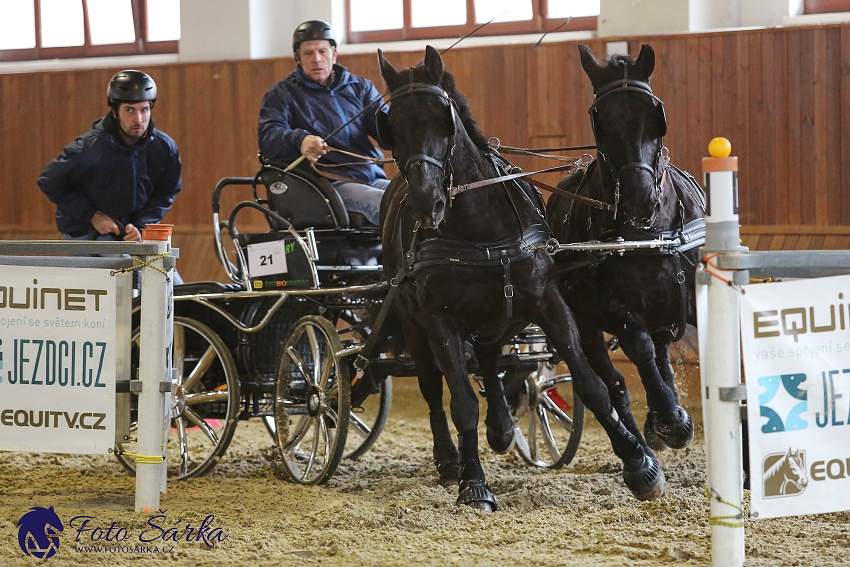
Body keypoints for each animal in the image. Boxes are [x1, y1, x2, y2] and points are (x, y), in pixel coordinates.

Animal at [376, 46, 664, 512]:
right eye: (393, 126)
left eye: (443, 117)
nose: (426, 203)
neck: (479, 227)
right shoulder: (440, 322)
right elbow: (461, 403)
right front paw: (473, 484)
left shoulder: (547, 302)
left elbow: (591, 385)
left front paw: (639, 465)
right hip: (413, 325)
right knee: (432, 387)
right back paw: (449, 459)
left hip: (500, 319)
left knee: (491, 360)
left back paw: (502, 427)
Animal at [548, 42, 704, 454]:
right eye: (599, 122)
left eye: (655, 115)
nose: (639, 200)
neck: (650, 235)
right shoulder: (615, 308)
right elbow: (639, 348)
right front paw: (671, 420)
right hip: (583, 322)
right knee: (615, 382)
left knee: (661, 352)